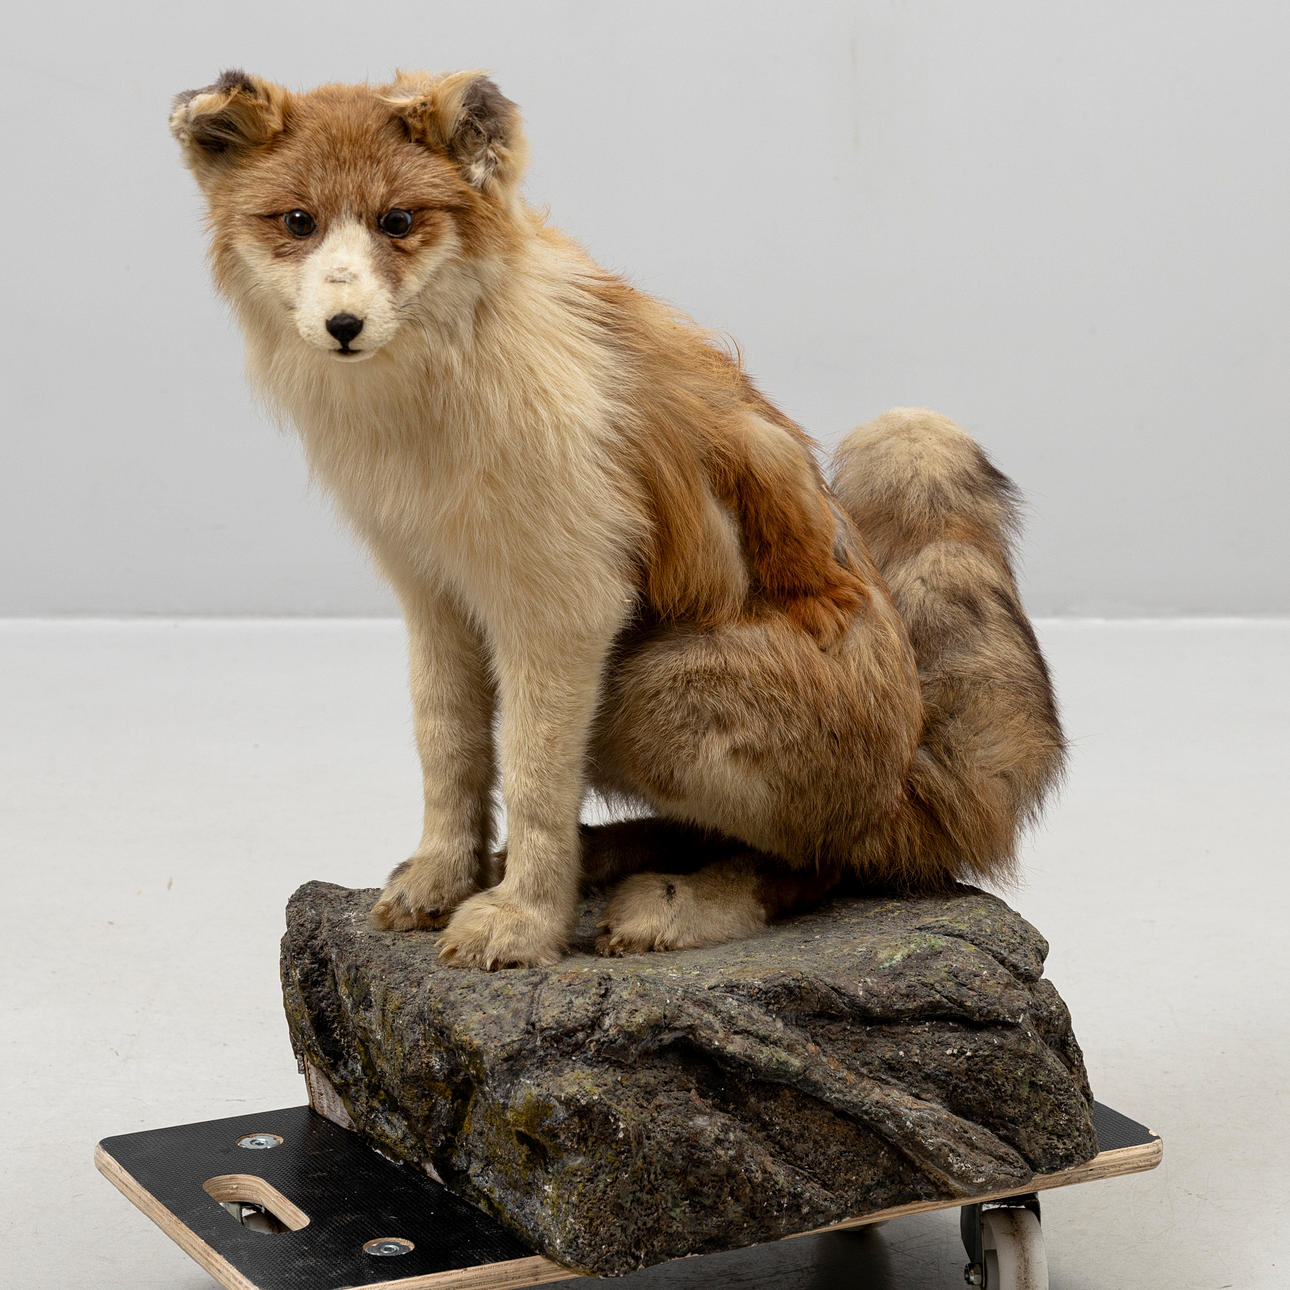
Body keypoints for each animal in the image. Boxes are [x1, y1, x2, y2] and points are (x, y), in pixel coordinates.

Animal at [169, 69, 1065, 970]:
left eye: (397, 221)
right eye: (298, 222)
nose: (343, 327)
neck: (436, 393)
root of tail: (909, 783)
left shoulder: (566, 610)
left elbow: (532, 776)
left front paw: (523, 920)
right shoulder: (432, 591)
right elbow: (448, 747)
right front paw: (440, 881)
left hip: (649, 703)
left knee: (822, 863)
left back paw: (679, 903)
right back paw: (612, 855)